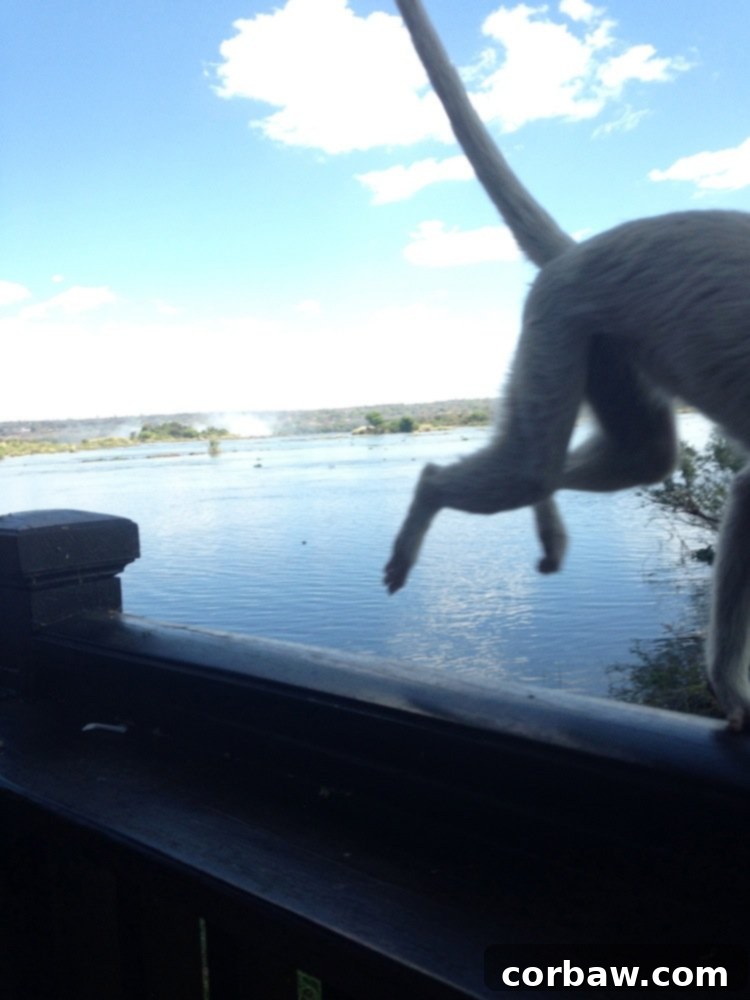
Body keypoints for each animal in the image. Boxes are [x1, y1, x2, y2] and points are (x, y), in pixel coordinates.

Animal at [384, 0, 750, 730]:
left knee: (637, 456)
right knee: (530, 466)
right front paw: (731, 693)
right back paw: (433, 494)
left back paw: (548, 514)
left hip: (603, 341)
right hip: (556, 322)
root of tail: (576, 252)